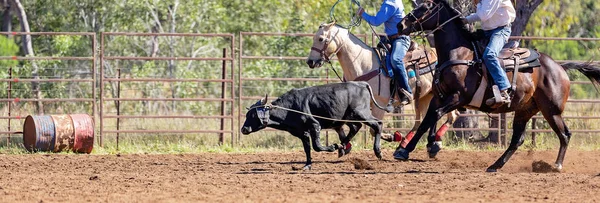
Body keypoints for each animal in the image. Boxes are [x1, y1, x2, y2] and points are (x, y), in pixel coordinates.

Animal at [308, 21, 458, 157]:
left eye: (321, 39)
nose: (310, 62)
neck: (365, 65)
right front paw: (346, 147)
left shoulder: (379, 105)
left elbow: (374, 128)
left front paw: (392, 138)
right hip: (426, 96)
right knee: (424, 120)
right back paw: (409, 146)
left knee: (450, 116)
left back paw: (431, 143)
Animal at [394, 0, 600, 172]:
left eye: (427, 6)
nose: (400, 25)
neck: (460, 55)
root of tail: (560, 67)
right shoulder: (439, 96)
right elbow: (428, 119)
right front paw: (416, 148)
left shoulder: (458, 97)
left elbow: (434, 115)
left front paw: (420, 146)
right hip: (525, 110)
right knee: (517, 140)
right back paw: (495, 165)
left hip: (551, 110)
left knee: (565, 134)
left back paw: (556, 165)